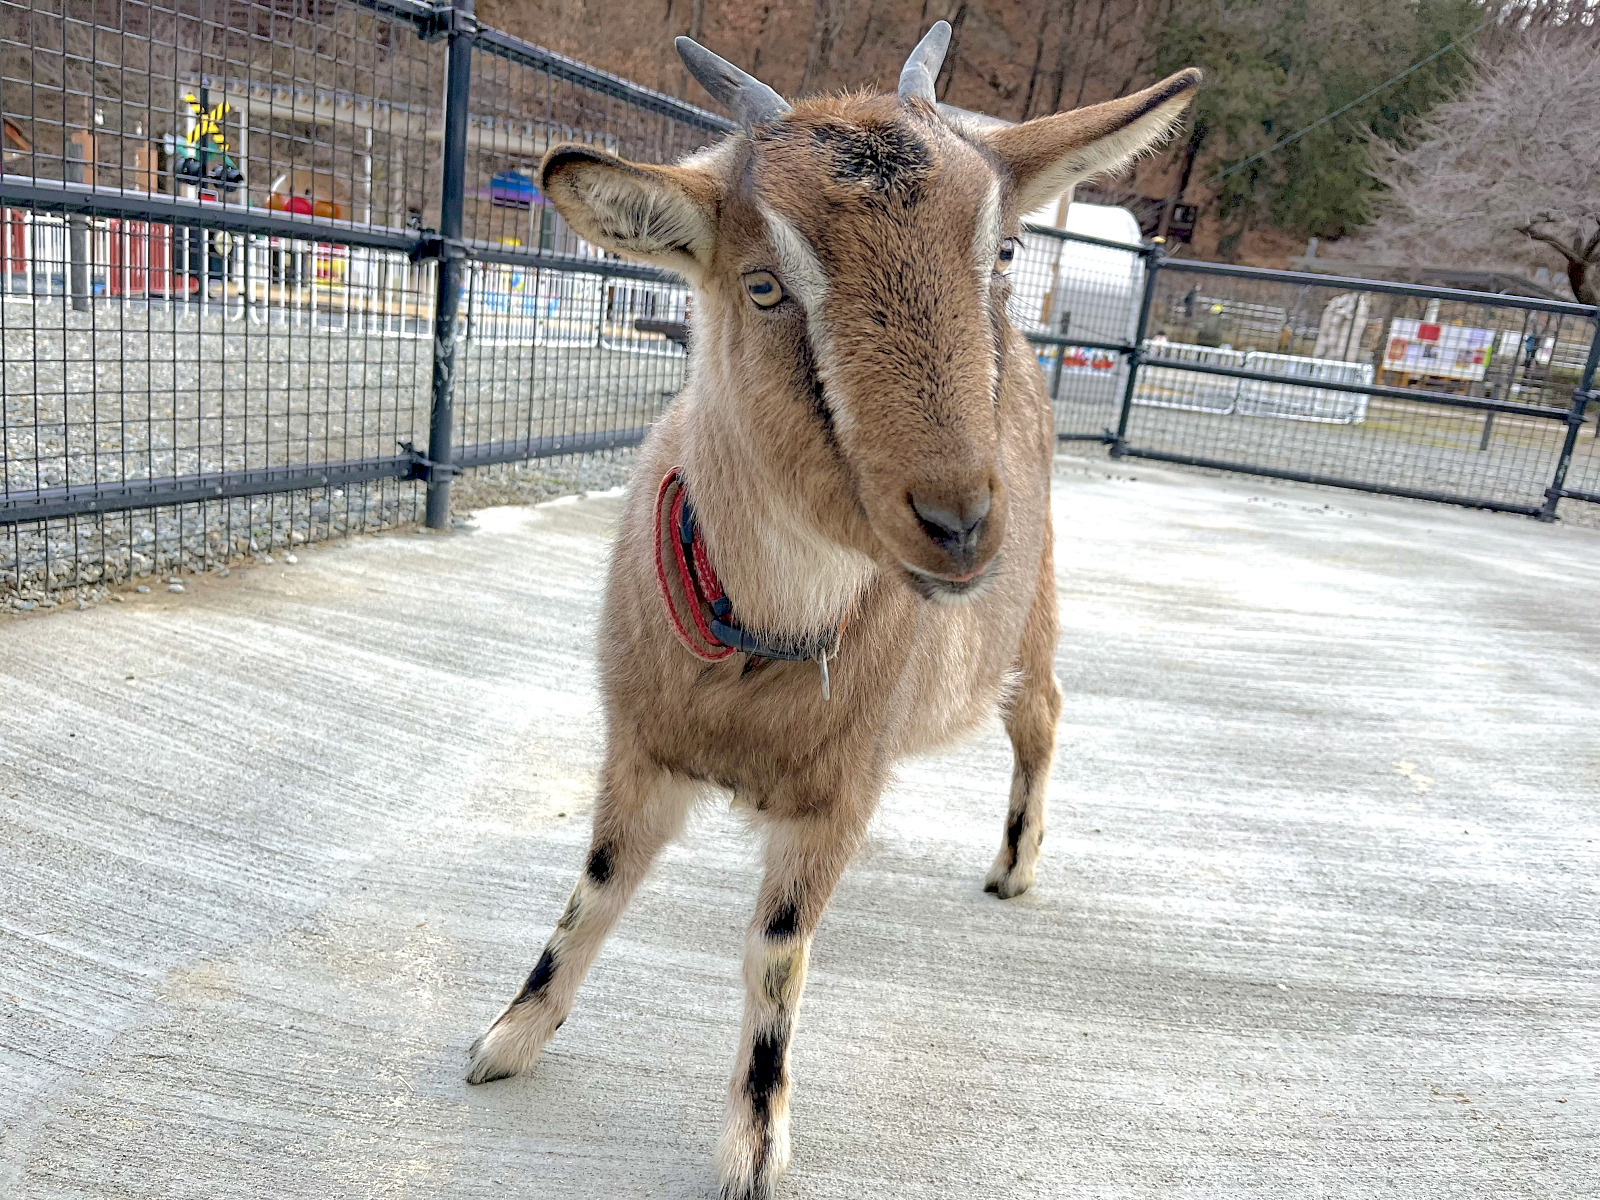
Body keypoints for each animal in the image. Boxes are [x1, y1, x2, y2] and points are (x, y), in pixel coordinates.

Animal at [467, 23, 1196, 1196]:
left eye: (1000, 253)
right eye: (765, 286)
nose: (957, 521)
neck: (760, 644)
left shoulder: (833, 797)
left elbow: (776, 952)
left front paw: (754, 1149)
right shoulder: (640, 744)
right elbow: (595, 887)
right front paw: (508, 1038)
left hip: (1031, 610)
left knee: (1040, 715)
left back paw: (1014, 867)